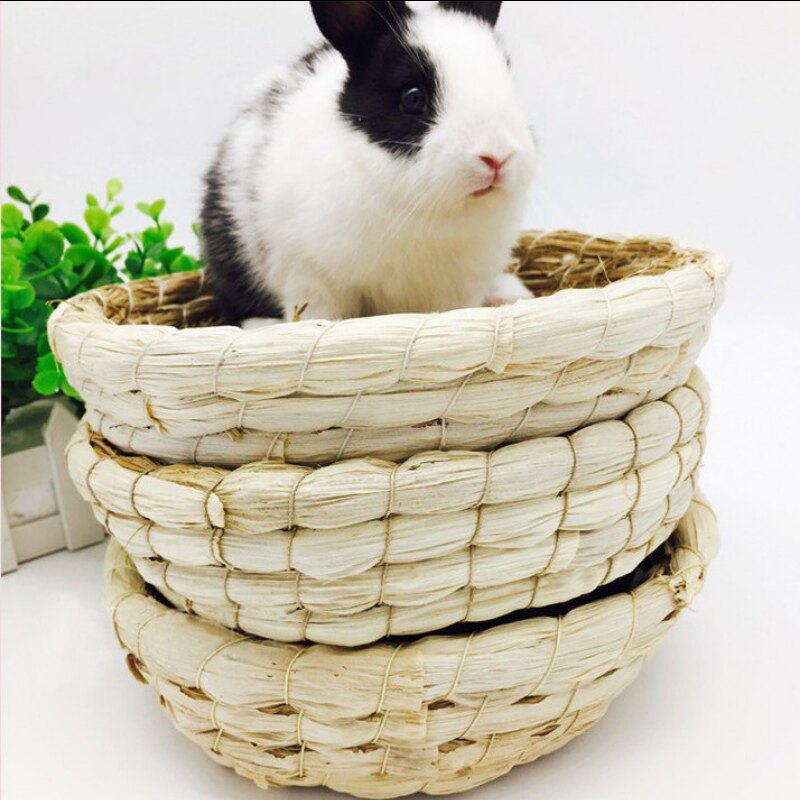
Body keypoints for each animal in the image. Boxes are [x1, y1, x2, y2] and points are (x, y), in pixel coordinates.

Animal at [200, 0, 537, 326]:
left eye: (507, 80)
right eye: (413, 97)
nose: (497, 155)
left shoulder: (462, 287)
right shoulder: (309, 275)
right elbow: (316, 316)